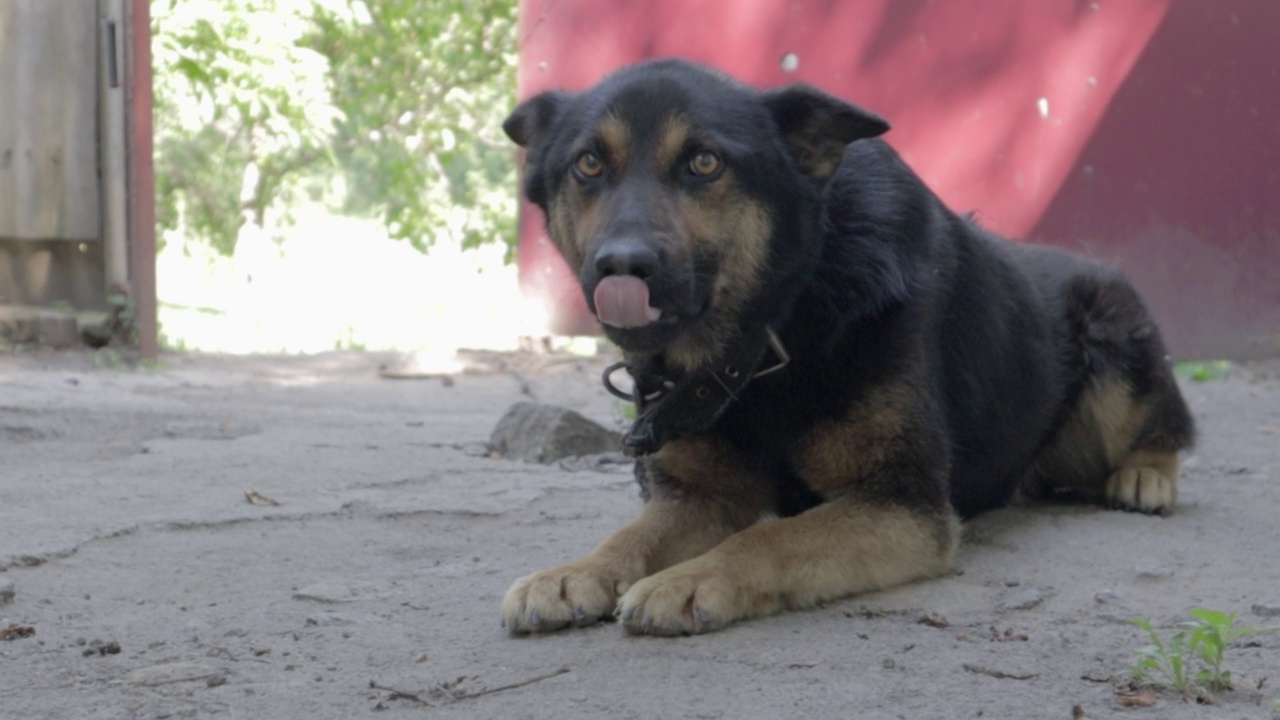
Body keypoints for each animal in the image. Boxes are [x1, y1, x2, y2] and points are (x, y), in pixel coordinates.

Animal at [496, 60, 1187, 632]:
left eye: (705, 163)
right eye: (588, 164)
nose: (622, 266)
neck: (778, 327)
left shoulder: (899, 504)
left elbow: (772, 538)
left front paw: (692, 579)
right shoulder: (700, 498)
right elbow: (632, 535)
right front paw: (578, 570)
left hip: (1115, 341)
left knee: (1170, 430)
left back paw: (1144, 478)